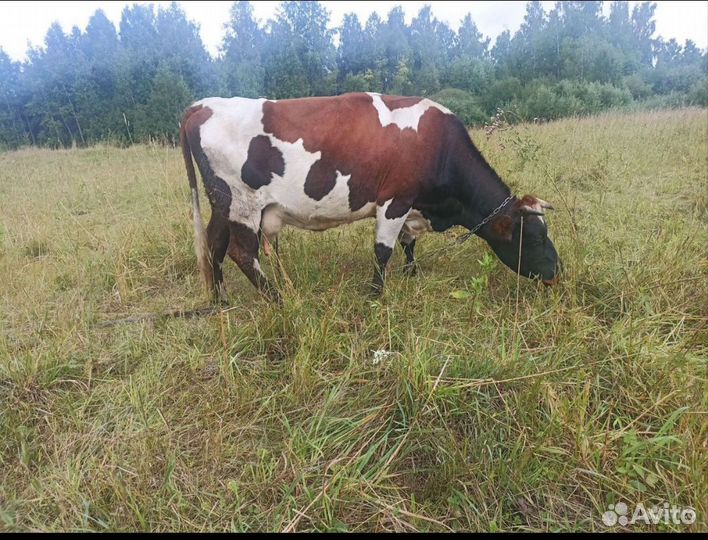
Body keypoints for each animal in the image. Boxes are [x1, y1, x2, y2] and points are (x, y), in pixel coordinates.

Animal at [179, 92, 560, 303]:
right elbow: (383, 250)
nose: (557, 272)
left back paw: (220, 299)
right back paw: (278, 299)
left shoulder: (411, 206)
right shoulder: (394, 200)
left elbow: (408, 243)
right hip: (242, 203)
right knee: (242, 253)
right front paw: (376, 294)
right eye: (535, 238)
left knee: (214, 245)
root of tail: (203, 105)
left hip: (222, 205)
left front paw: (410, 273)